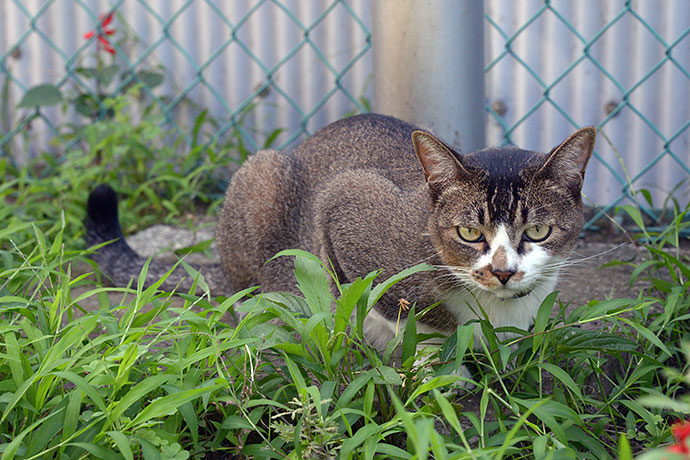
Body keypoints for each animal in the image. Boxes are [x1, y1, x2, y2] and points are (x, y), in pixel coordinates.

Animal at [84, 113, 592, 350]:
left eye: (538, 230)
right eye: (469, 233)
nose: (504, 271)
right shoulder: (346, 204)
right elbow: (402, 309)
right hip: (262, 176)